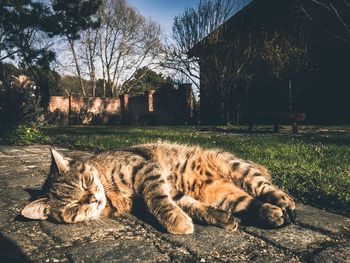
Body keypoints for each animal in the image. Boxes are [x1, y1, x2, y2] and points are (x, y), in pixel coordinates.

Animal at [21, 142, 296, 235]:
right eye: (72, 205)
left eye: (84, 183)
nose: (91, 199)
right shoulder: (173, 192)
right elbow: (191, 206)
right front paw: (216, 217)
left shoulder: (146, 170)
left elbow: (158, 201)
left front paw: (176, 222)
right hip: (225, 193)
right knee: (250, 202)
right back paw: (271, 214)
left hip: (238, 168)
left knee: (267, 188)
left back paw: (284, 202)